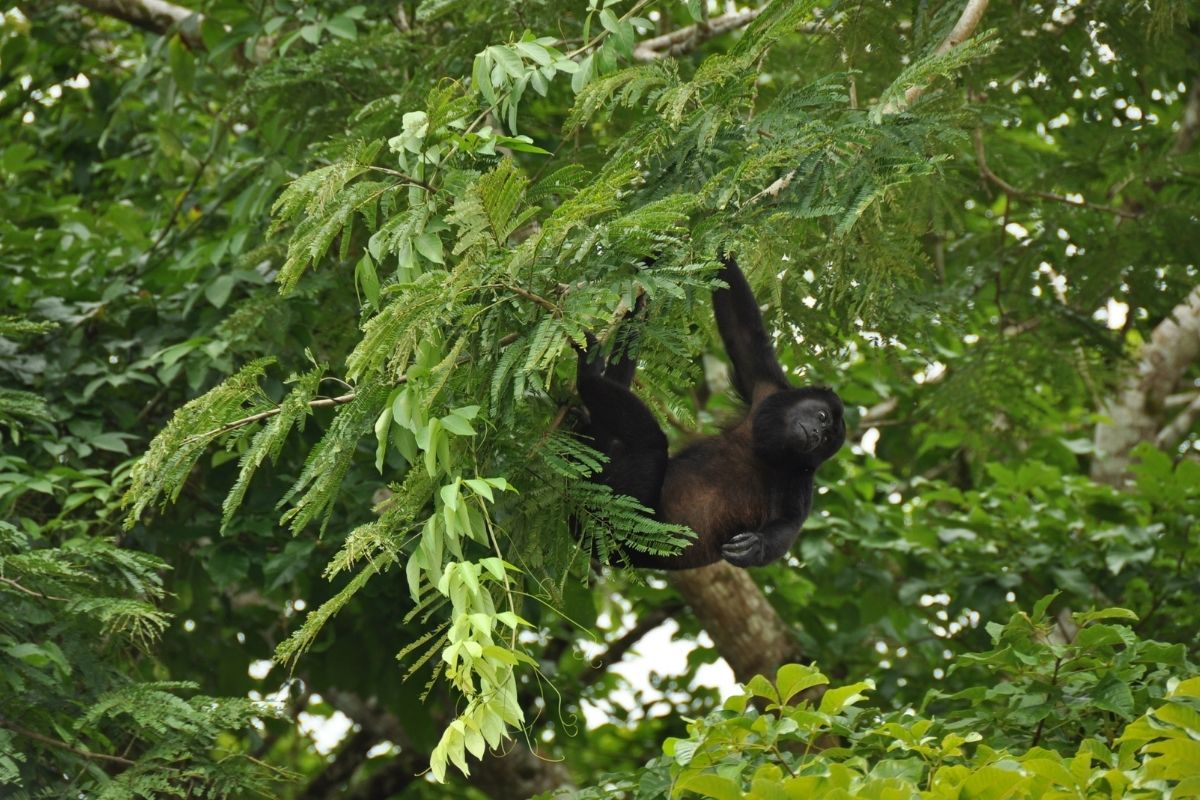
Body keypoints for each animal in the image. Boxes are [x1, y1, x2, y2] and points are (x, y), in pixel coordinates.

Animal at [573, 255, 844, 568]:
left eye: (826, 440)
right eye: (822, 418)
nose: (815, 434)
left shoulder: (801, 476)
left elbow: (789, 524)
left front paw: (758, 547)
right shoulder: (767, 387)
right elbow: (741, 327)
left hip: (626, 528)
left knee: (651, 443)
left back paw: (588, 378)